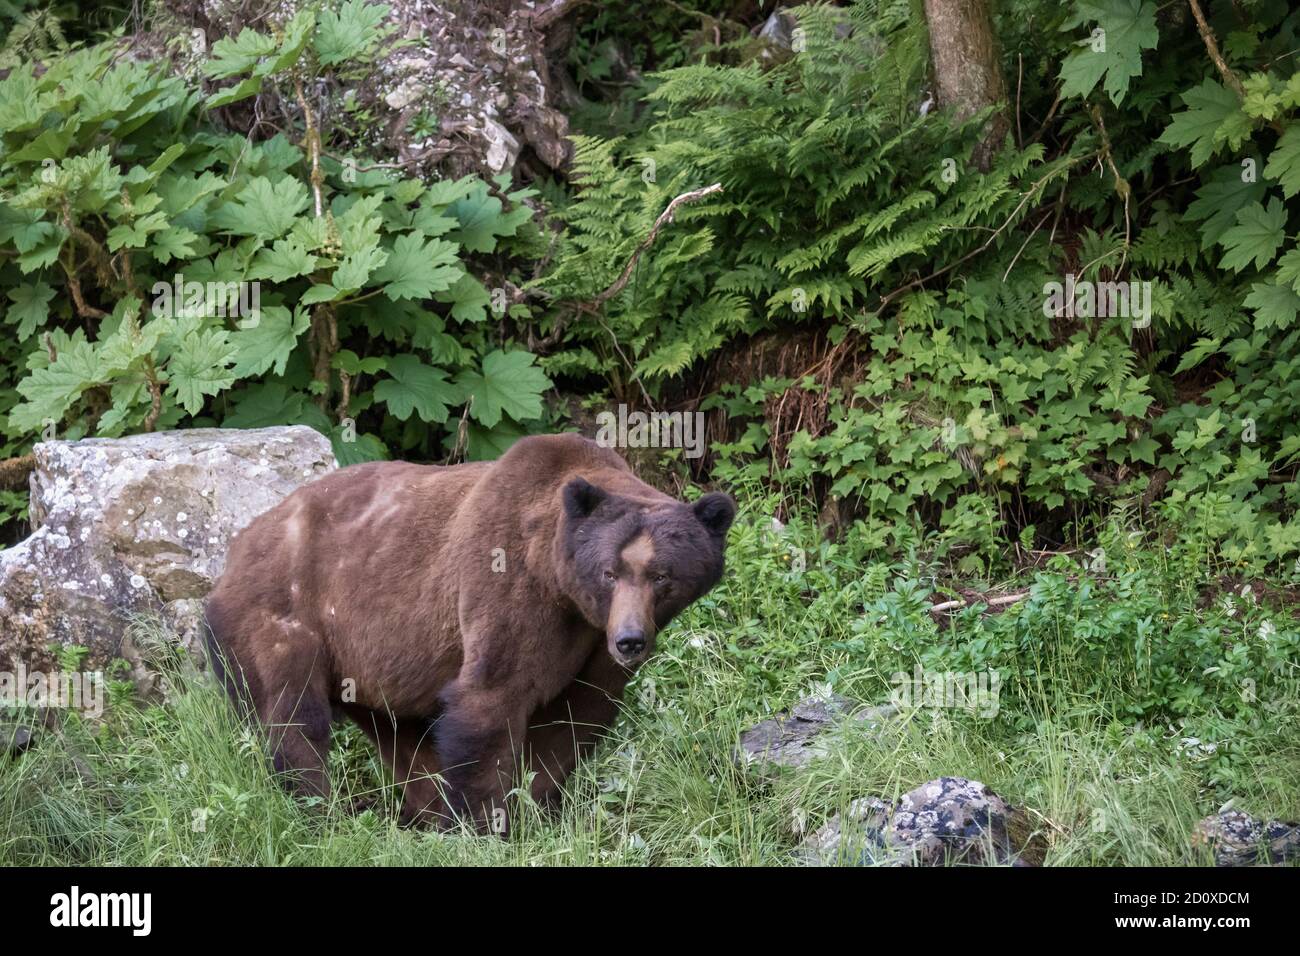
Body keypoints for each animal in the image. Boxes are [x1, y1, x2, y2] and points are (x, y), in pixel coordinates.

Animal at [202, 434, 733, 832]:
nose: (630, 640)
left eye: (662, 576)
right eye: (609, 572)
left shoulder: (589, 642)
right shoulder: (506, 583)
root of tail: (237, 544)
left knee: (401, 735)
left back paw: (419, 812)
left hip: (368, 660)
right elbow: (492, 698)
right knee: (293, 716)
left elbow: (576, 717)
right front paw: (486, 821)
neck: (561, 587)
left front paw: (538, 807)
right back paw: (319, 809)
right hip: (284, 612)